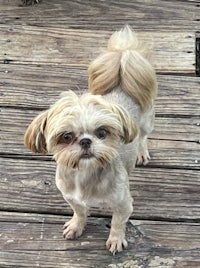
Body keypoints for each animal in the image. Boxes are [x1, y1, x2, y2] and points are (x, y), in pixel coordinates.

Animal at [24, 26, 157, 254]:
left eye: (102, 132)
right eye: (66, 136)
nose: (86, 141)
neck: (85, 175)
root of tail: (124, 53)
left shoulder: (123, 204)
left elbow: (117, 222)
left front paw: (115, 239)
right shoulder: (71, 197)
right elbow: (79, 212)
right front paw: (76, 225)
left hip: (146, 121)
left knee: (142, 136)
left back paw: (141, 152)